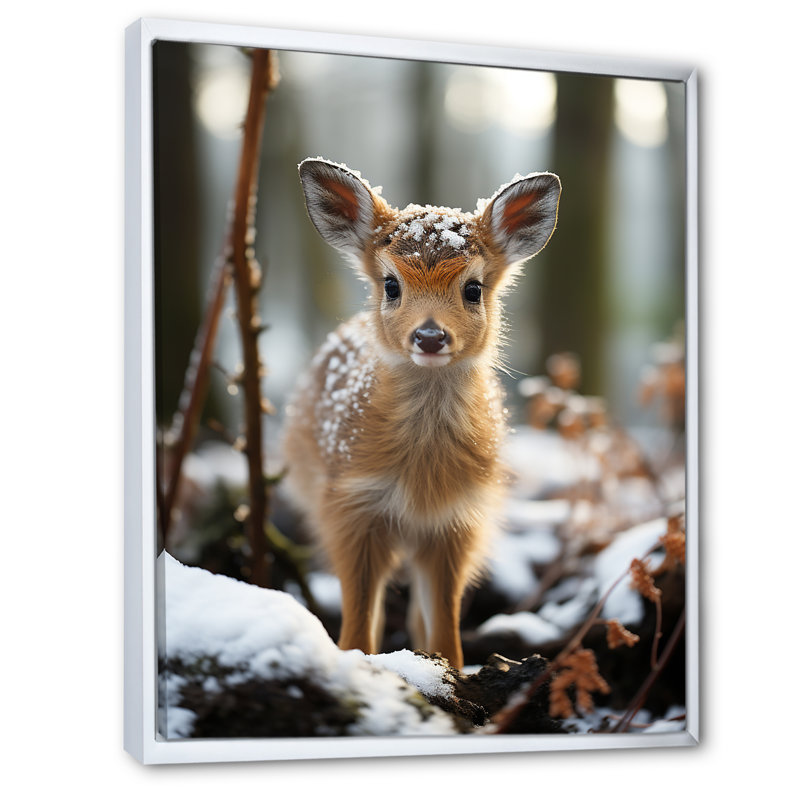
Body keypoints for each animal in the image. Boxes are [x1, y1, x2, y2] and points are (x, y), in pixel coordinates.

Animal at [283, 157, 561, 670]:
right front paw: (361, 667)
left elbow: (445, 621)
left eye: (473, 288)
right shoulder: (349, 507)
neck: (420, 478)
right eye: (391, 284)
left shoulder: (458, 522)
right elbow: (358, 622)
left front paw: (451, 674)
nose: (430, 336)